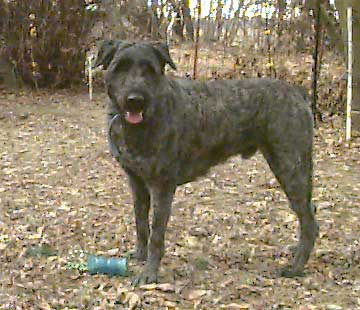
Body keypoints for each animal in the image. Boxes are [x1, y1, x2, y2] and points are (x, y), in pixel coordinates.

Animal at [94, 41, 320, 286]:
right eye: (121, 67)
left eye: (149, 69)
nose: (135, 100)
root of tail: (297, 93)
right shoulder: (137, 182)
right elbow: (141, 223)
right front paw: (140, 255)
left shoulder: (162, 186)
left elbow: (156, 234)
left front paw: (149, 273)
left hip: (290, 168)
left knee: (309, 221)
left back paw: (296, 267)